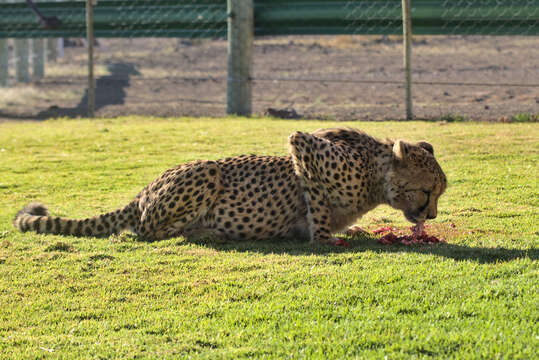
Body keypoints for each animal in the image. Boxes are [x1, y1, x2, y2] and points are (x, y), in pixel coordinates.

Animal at [14, 127, 450, 245]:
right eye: (427, 191)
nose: (430, 215)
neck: (376, 176)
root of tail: (143, 190)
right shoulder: (304, 145)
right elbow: (317, 206)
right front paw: (325, 237)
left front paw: (352, 229)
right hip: (206, 170)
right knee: (144, 230)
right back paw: (205, 232)